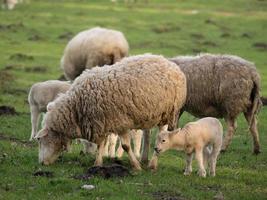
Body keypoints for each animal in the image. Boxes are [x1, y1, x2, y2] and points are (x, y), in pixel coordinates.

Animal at [34, 54, 187, 170]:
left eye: (40, 140)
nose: (41, 163)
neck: (77, 107)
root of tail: (168, 61)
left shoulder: (119, 121)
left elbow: (125, 146)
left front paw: (135, 166)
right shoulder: (101, 122)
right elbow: (101, 144)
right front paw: (97, 164)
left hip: (167, 112)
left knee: (161, 135)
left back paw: (152, 164)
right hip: (150, 114)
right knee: (147, 134)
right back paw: (144, 159)